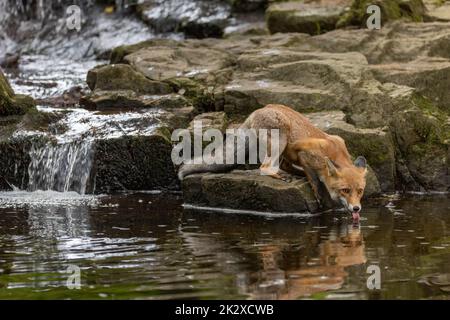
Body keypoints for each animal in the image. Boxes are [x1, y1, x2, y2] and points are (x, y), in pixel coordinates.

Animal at [178, 105, 368, 220]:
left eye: (360, 191)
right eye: (345, 190)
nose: (356, 209)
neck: (335, 153)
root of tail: (258, 110)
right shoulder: (306, 155)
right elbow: (314, 179)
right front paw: (319, 192)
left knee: (283, 165)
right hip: (281, 138)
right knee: (265, 167)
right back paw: (279, 175)